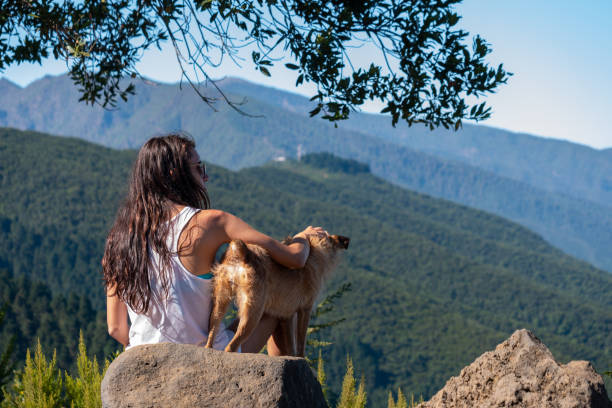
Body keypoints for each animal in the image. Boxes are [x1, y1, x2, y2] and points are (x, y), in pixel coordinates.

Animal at [204, 234, 350, 356]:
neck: (314, 252)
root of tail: (242, 253)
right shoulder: (305, 310)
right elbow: (301, 342)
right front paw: (302, 358)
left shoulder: (287, 316)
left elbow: (291, 345)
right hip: (253, 312)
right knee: (231, 346)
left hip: (220, 301)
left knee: (212, 331)